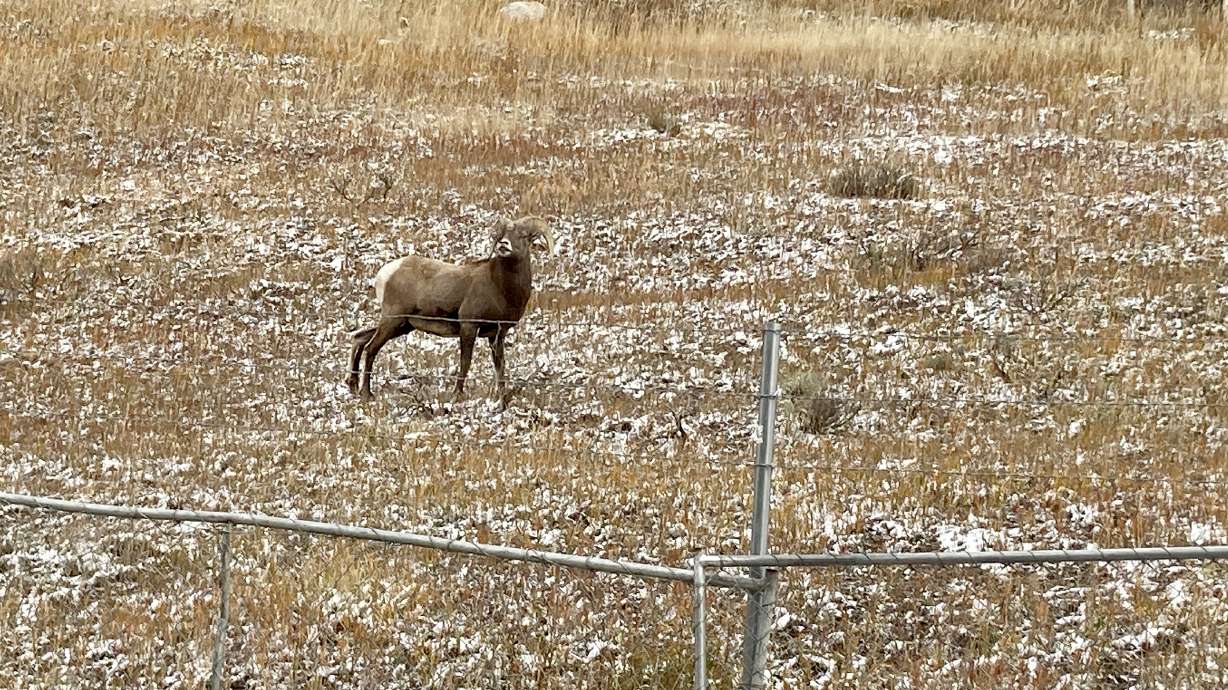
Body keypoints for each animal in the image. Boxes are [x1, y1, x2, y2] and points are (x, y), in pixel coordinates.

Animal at [346, 215, 554, 404]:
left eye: (523, 235)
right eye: (503, 233)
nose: (504, 244)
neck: (501, 288)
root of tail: (386, 272)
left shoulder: (497, 334)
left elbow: (500, 366)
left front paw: (501, 398)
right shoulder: (469, 327)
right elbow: (465, 362)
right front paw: (456, 396)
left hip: (402, 325)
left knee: (360, 338)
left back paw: (353, 385)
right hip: (393, 321)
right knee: (371, 348)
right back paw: (367, 394)